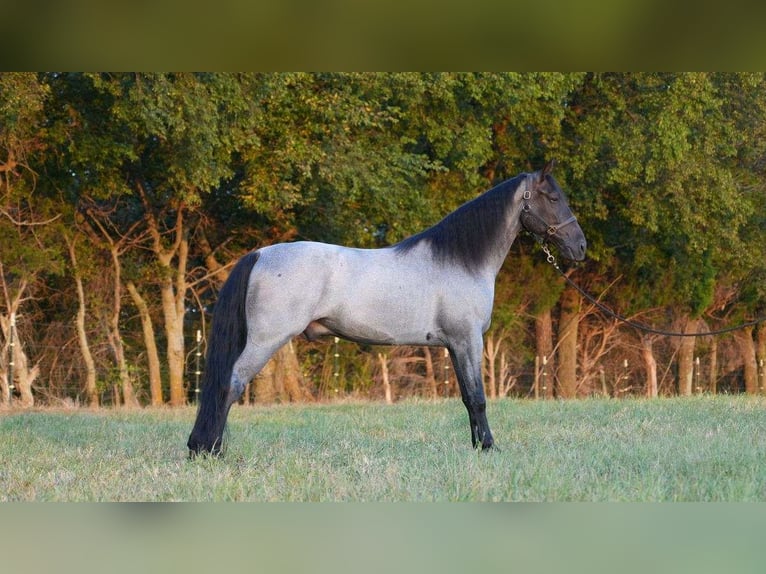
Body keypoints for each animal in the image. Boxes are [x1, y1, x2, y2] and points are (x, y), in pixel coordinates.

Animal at [188, 160, 588, 456]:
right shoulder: (469, 340)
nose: (580, 247)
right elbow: (478, 399)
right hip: (265, 341)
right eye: (553, 198)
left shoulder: (455, 345)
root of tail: (260, 254)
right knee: (230, 385)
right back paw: (211, 450)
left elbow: (466, 398)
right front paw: (489, 448)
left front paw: (478, 447)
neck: (461, 259)